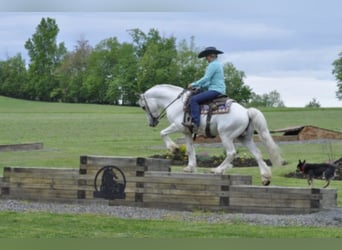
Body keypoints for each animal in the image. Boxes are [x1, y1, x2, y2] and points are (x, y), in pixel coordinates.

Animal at [139, 84, 284, 184]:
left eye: (143, 107)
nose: (152, 123)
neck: (177, 104)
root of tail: (247, 112)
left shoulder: (177, 126)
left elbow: (162, 133)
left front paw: (173, 148)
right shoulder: (187, 132)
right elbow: (190, 149)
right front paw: (190, 167)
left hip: (226, 136)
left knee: (231, 153)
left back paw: (217, 170)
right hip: (244, 138)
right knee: (257, 154)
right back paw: (265, 177)